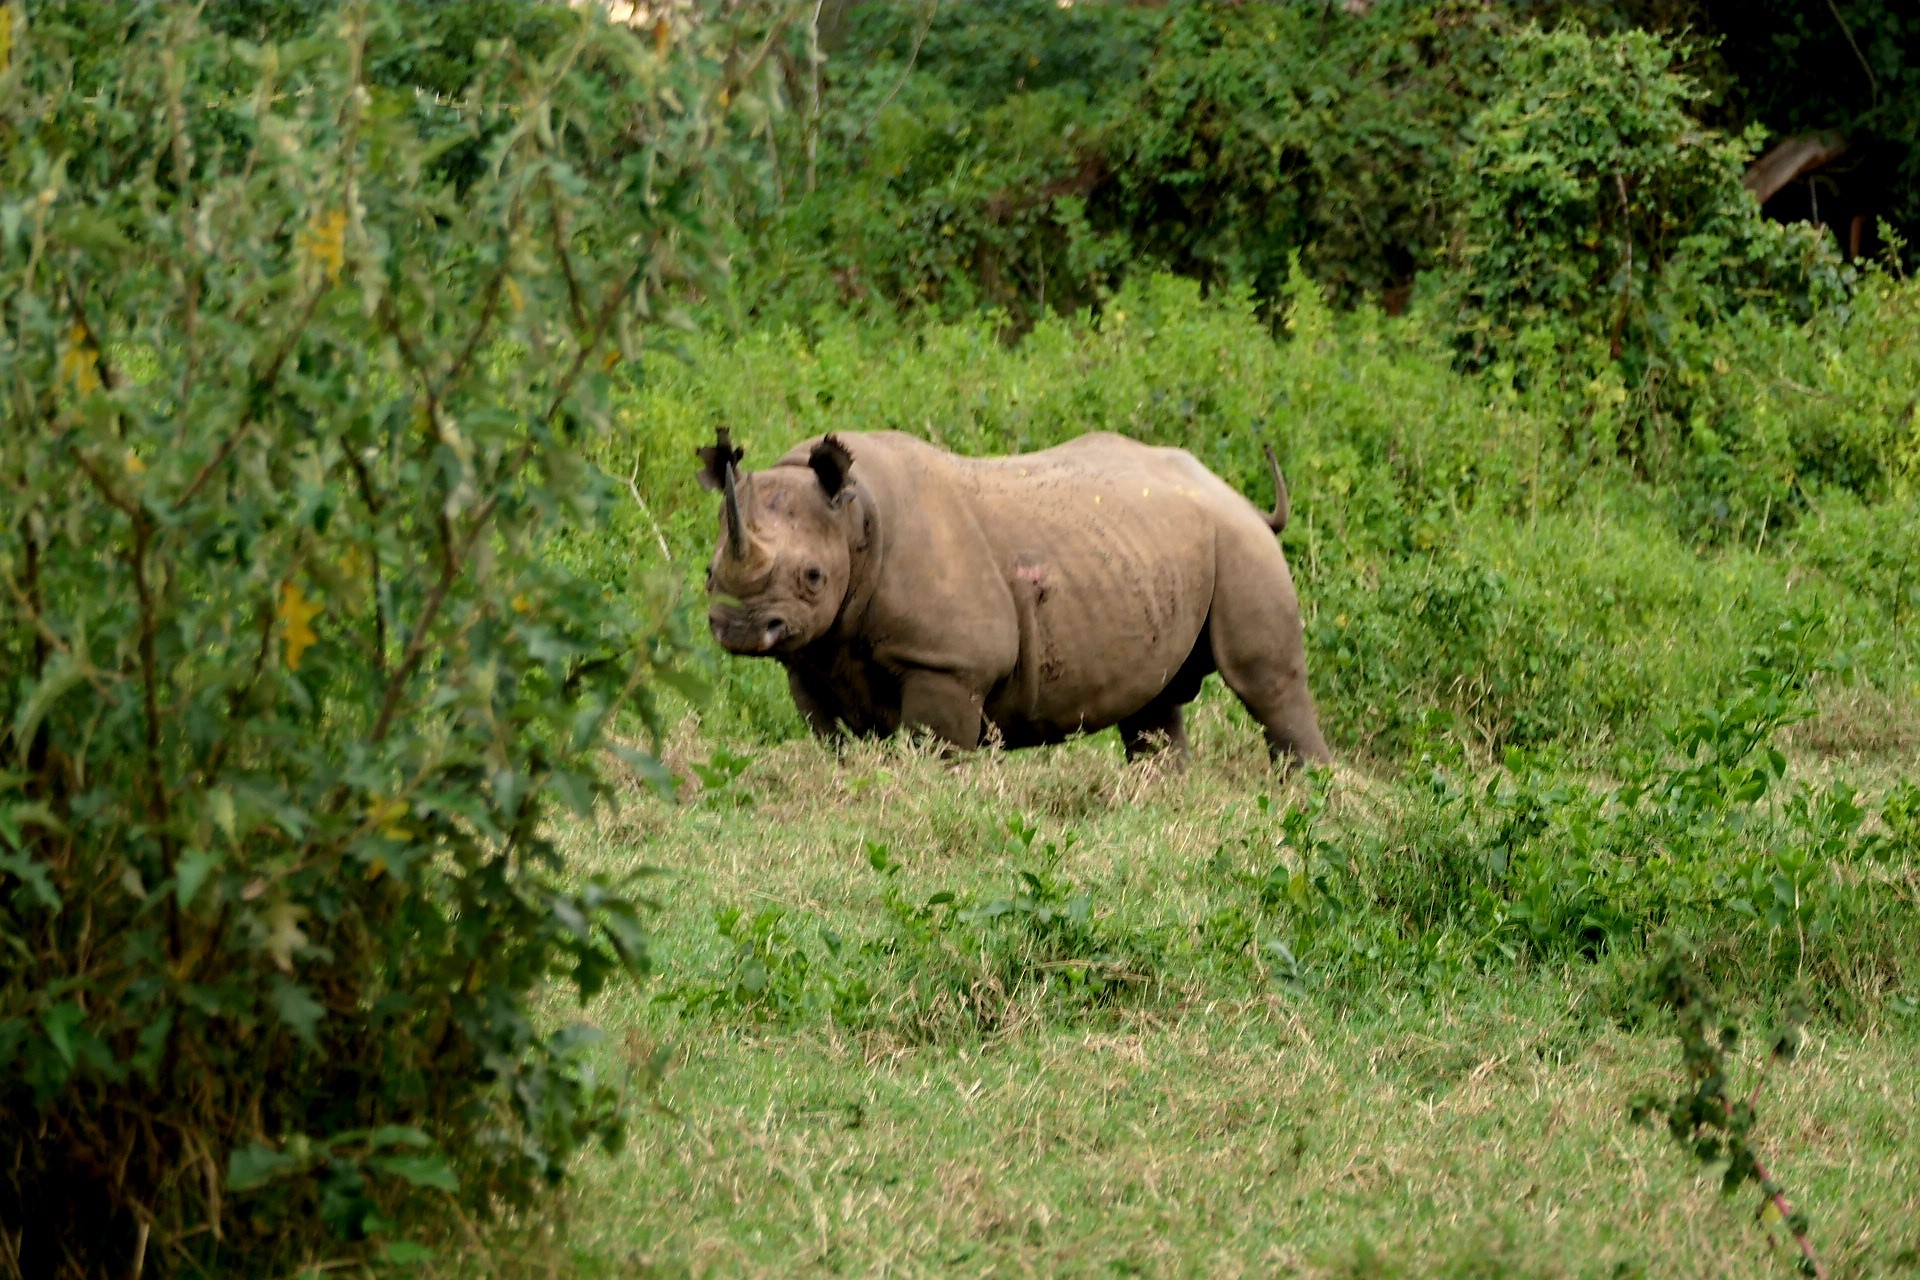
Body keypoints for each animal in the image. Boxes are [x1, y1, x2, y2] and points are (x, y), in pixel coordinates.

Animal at [697, 428, 1331, 767]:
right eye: (708, 573)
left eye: (812, 577)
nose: (741, 628)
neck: (855, 519)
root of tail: (1234, 493)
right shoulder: (813, 657)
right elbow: (831, 741)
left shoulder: (947, 664)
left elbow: (933, 751)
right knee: (1153, 706)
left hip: (1241, 544)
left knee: (1267, 685)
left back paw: (1309, 794)